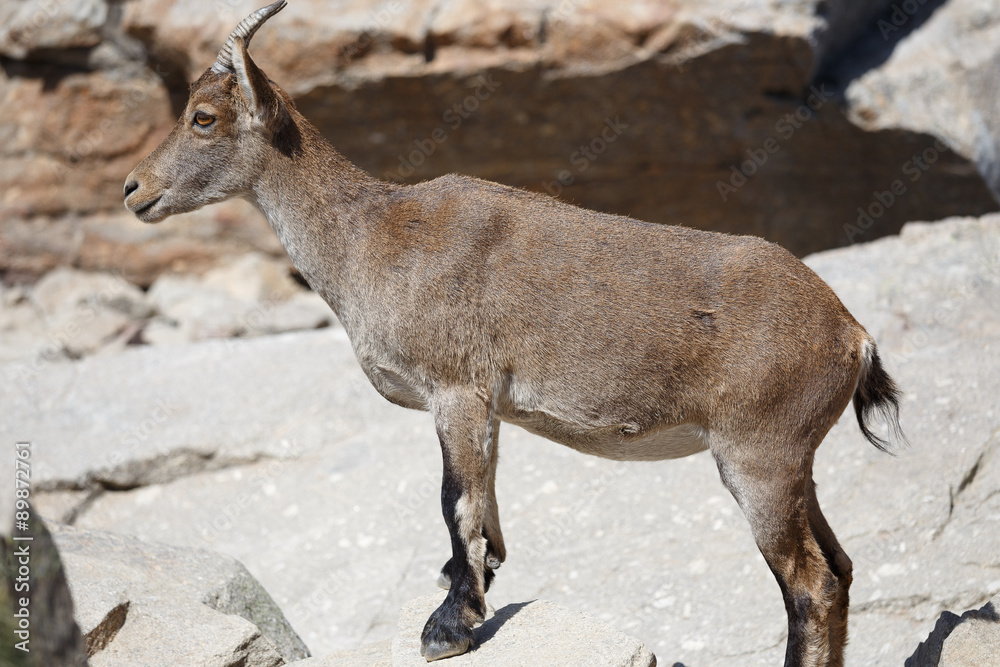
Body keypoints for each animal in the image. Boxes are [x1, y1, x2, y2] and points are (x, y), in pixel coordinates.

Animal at [124, 3, 905, 665]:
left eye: (203, 117)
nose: (134, 189)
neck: (369, 236)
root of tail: (851, 333)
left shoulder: (455, 389)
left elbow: (456, 500)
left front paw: (447, 628)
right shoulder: (487, 405)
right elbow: (486, 506)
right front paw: (469, 599)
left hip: (758, 458)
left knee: (810, 584)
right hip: (794, 464)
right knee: (839, 568)